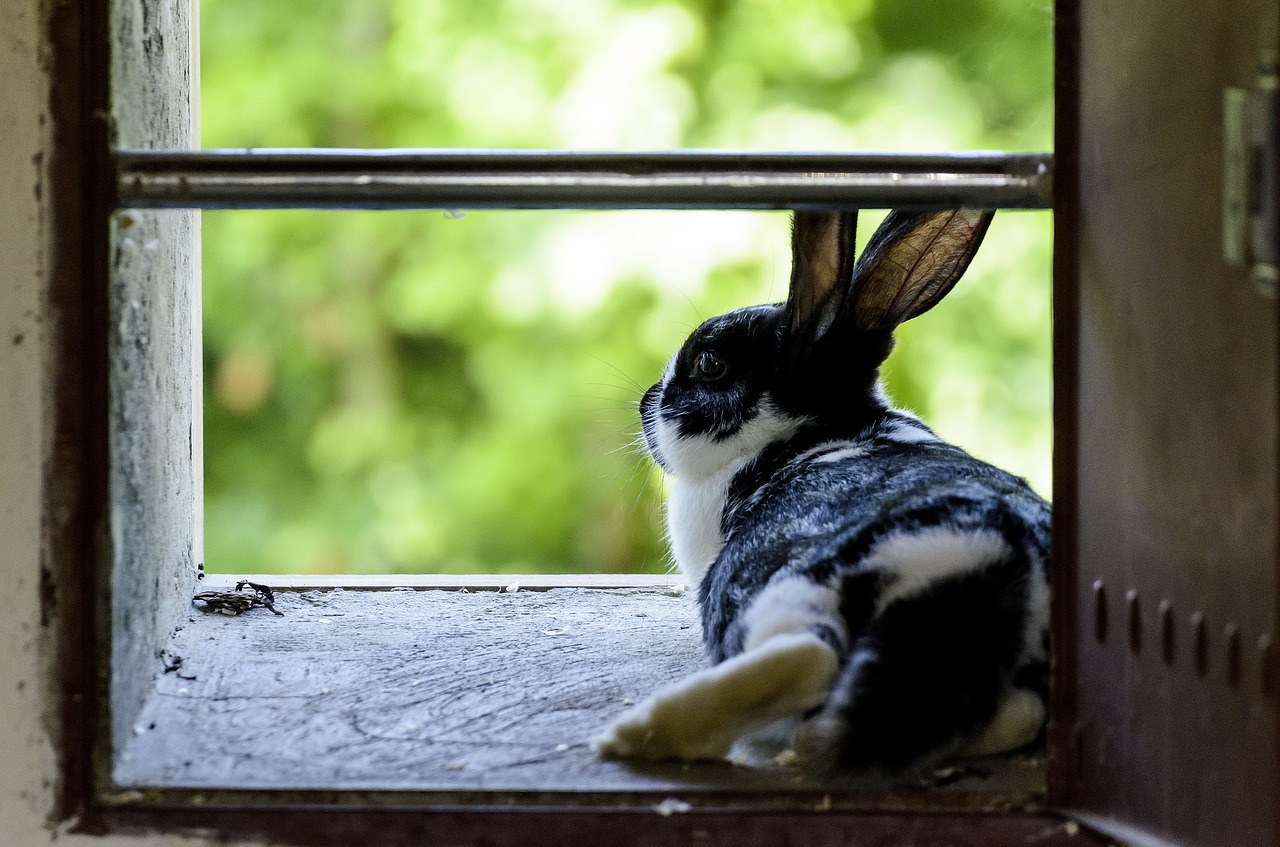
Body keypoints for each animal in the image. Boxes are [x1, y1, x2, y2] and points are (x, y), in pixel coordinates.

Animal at [588, 207, 1049, 777]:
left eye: (710, 365)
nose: (646, 402)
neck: (811, 431)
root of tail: (997, 561)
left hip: (791, 586)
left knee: (808, 657)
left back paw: (638, 736)